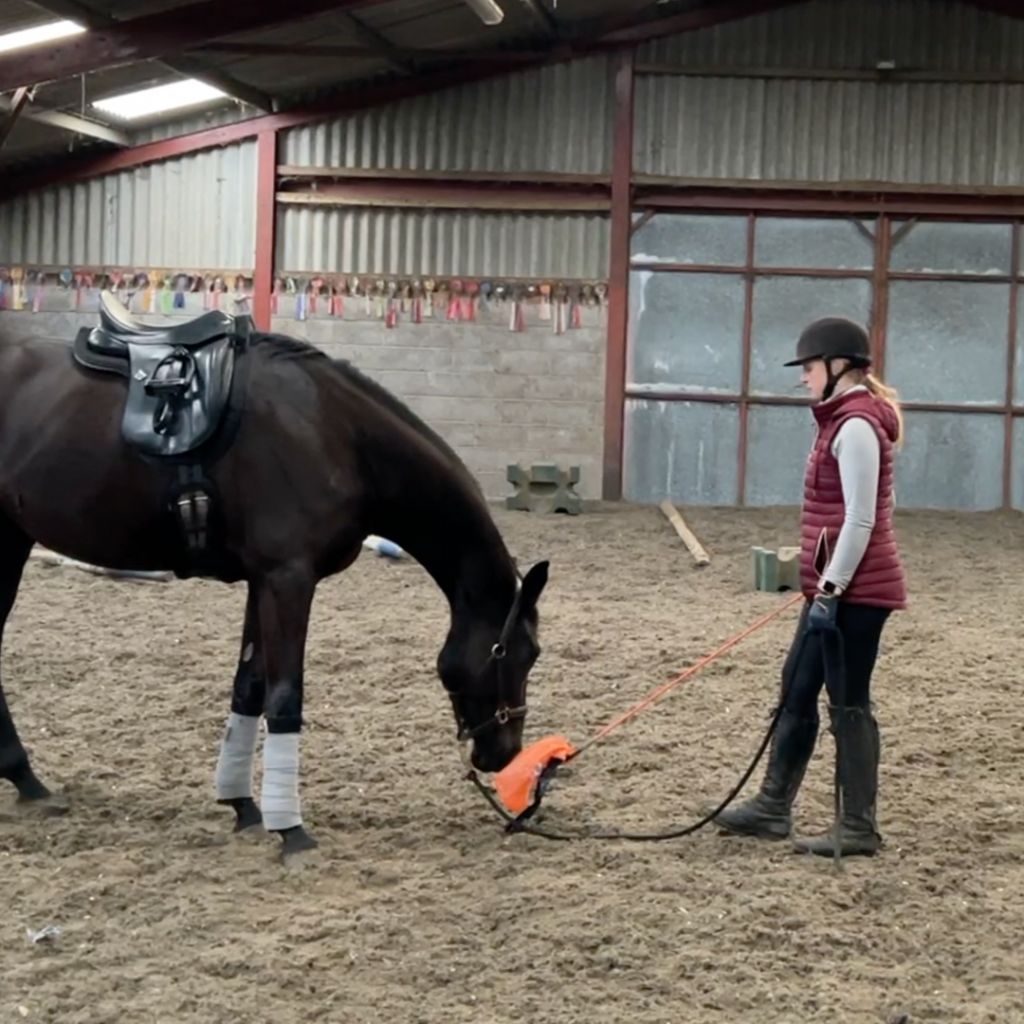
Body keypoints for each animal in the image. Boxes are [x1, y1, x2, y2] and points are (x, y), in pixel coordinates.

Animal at [0, 291, 549, 862]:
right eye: (517, 653)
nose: (504, 753)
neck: (334, 432)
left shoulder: (261, 581)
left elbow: (249, 688)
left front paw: (243, 804)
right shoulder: (289, 579)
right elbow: (285, 697)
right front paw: (291, 828)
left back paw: (27, 781)